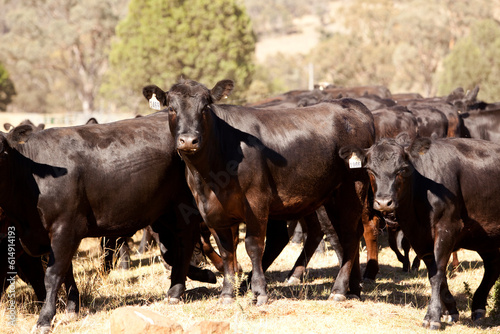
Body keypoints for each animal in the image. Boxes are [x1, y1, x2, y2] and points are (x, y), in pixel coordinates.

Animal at [0, 113, 213, 332]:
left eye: (2, 151)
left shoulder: (65, 228)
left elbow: (53, 275)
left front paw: (44, 319)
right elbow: (67, 271)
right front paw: (72, 308)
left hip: (183, 203)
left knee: (185, 241)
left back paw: (177, 290)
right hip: (162, 212)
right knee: (172, 250)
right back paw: (196, 277)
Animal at [142, 78, 376, 306]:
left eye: (205, 107)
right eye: (171, 108)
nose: (189, 140)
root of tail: (350, 104)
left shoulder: (256, 204)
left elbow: (253, 246)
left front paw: (260, 292)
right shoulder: (211, 211)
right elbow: (227, 252)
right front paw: (227, 294)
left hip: (352, 189)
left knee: (350, 237)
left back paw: (339, 290)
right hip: (330, 196)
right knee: (343, 234)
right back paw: (353, 289)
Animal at [342, 135, 500, 328]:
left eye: (402, 169)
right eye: (370, 170)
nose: (384, 203)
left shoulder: (447, 229)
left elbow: (437, 273)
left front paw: (432, 317)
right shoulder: (418, 237)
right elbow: (437, 275)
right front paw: (450, 310)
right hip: (483, 237)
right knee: (493, 265)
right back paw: (478, 306)